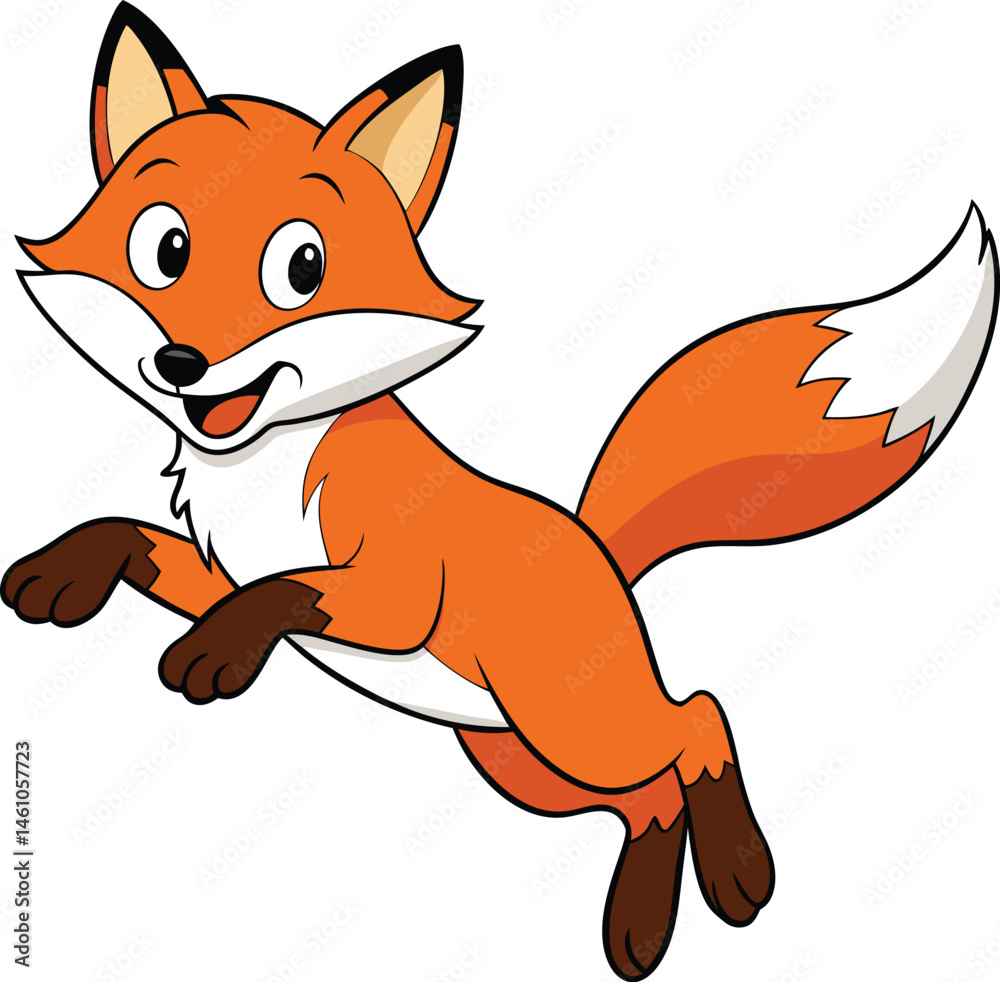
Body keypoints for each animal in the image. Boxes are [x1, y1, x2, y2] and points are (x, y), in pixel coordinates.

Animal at [4, 3, 997, 978]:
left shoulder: (395, 591)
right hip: (523, 763)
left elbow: (289, 592)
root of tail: (597, 549)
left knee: (699, 721)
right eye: (164, 249)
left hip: (572, 728)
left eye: (301, 269)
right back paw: (641, 927)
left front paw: (218, 653)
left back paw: (737, 875)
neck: (263, 468)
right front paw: (60, 576)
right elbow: (133, 534)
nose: (184, 362)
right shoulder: (216, 567)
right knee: (651, 796)